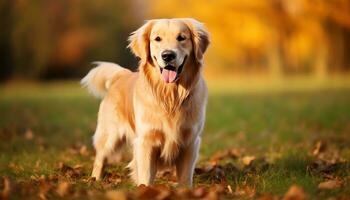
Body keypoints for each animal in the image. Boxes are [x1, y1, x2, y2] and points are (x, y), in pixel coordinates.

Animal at [80, 17, 209, 186]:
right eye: (157, 39)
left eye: (181, 38)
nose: (168, 55)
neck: (170, 97)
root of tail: (121, 75)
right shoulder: (146, 141)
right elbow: (146, 176)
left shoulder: (190, 141)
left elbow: (185, 178)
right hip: (110, 135)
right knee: (100, 158)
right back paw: (95, 179)